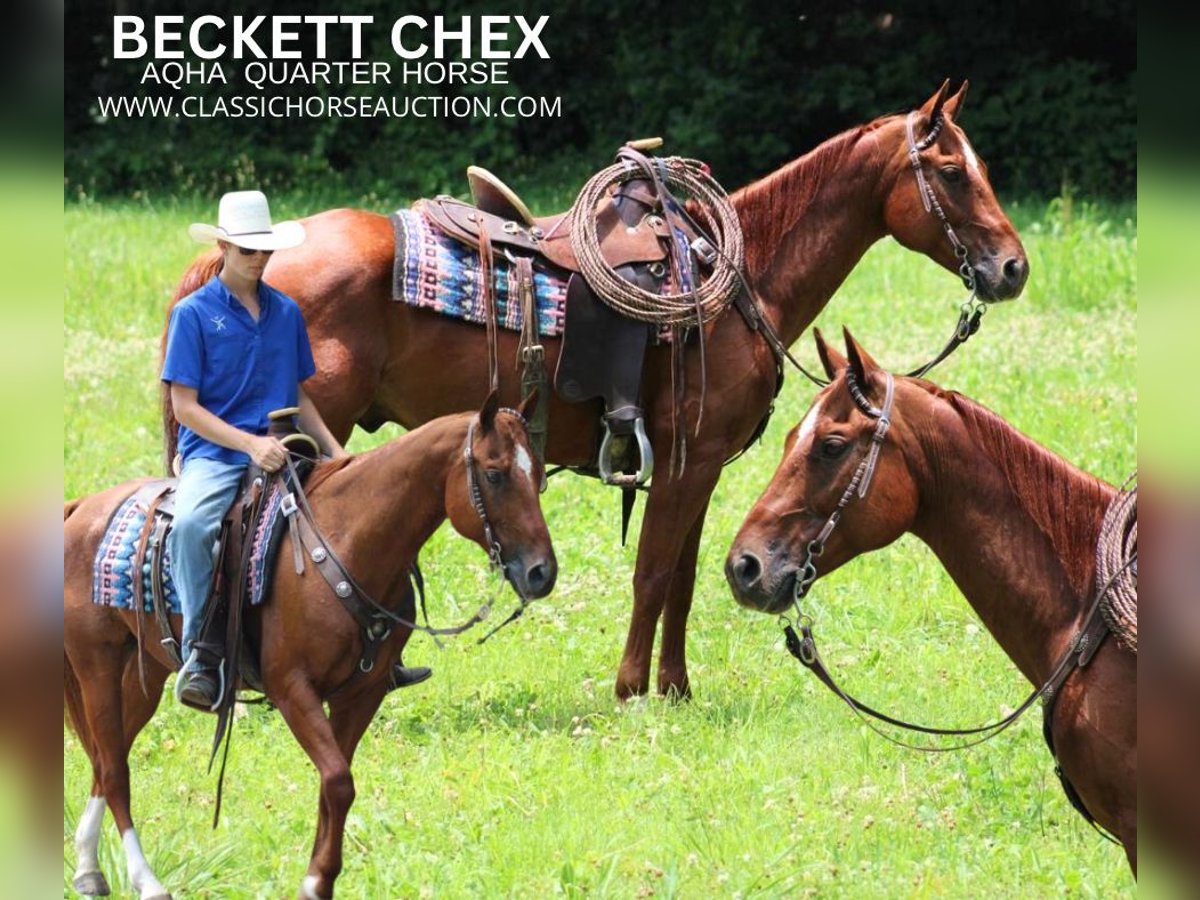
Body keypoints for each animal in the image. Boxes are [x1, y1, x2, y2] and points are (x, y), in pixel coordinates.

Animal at [63, 396, 554, 900]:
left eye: (538, 473)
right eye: (494, 474)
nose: (542, 573)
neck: (346, 541)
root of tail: (81, 509)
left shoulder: (362, 694)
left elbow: (334, 785)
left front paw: (318, 879)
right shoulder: (292, 688)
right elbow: (337, 780)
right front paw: (316, 881)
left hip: (143, 675)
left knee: (105, 759)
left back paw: (88, 869)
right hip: (96, 666)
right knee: (114, 772)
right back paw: (146, 881)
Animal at [157, 81, 1022, 700]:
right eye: (952, 173)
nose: (1013, 268)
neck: (737, 281)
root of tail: (229, 265)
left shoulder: (697, 464)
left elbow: (684, 578)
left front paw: (674, 689)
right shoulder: (684, 461)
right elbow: (654, 572)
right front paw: (632, 689)